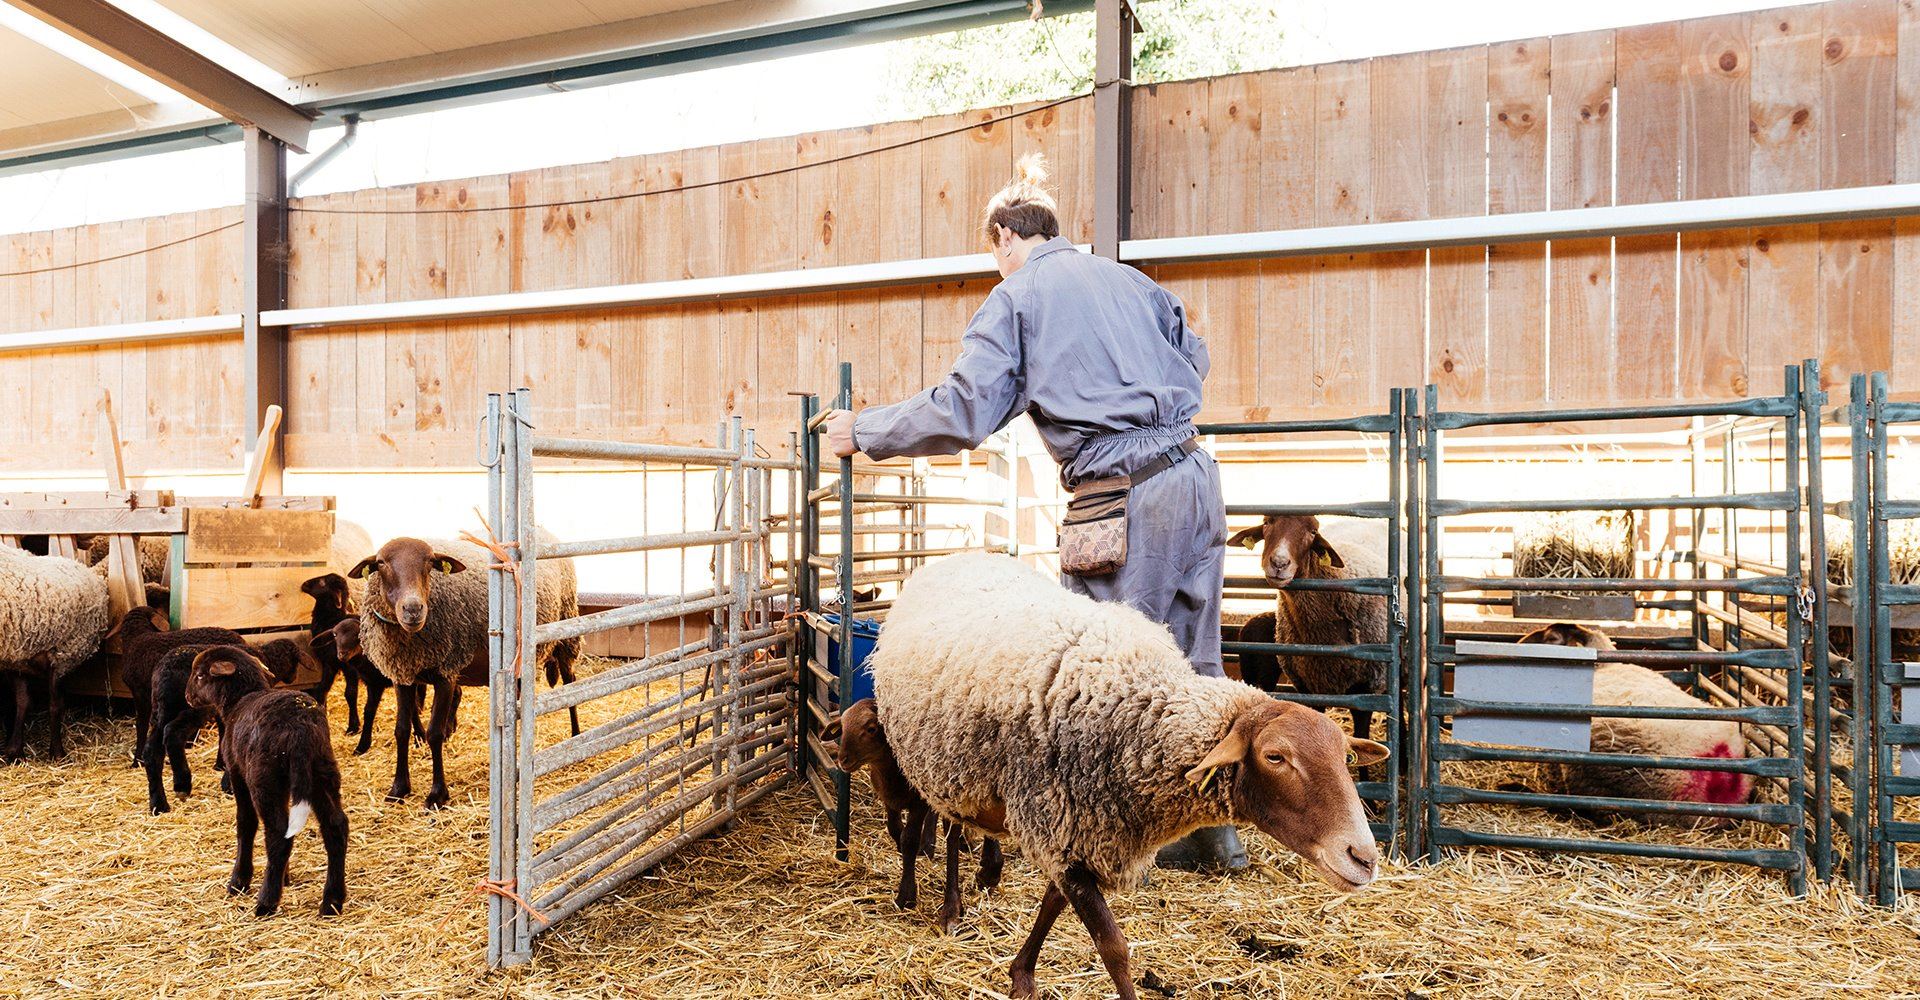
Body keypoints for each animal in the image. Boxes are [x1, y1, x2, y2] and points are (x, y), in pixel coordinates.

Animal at [185, 645, 348, 917]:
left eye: (199, 675)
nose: (187, 696)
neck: (240, 700)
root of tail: (301, 729)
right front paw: (285, 877)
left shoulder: (237, 774)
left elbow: (245, 824)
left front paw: (239, 881)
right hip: (322, 773)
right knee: (335, 827)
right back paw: (332, 901)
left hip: (265, 780)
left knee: (278, 834)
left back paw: (266, 902)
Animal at [349, 534, 580, 810]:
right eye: (381, 563)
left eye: (430, 562)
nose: (413, 609)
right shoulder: (402, 675)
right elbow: (401, 730)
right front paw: (399, 788)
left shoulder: (446, 673)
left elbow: (434, 733)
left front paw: (437, 794)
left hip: (566, 633)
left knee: (571, 683)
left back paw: (577, 734)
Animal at [823, 698, 1002, 932]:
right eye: (842, 728)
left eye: (871, 729)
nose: (843, 760)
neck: (890, 769)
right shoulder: (888, 798)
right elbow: (894, 829)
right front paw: (908, 850)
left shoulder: (918, 802)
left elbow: (909, 838)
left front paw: (906, 896)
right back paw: (931, 846)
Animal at [870, 553, 1387, 1000]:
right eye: (1275, 756)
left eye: (1344, 756)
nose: (1363, 858)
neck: (1138, 718)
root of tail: (956, 557)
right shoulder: (1058, 822)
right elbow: (1114, 947)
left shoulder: (1079, 831)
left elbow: (1052, 905)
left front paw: (1021, 976)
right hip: (934, 759)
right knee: (944, 831)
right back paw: (943, 905)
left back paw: (983, 876)